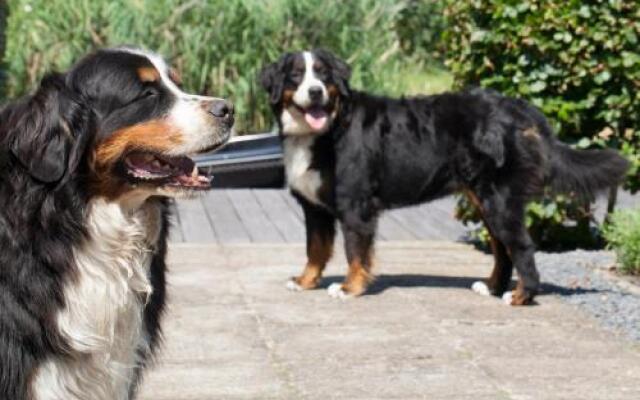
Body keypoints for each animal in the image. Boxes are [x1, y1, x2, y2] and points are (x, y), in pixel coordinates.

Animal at [260, 50, 632, 306]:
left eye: (323, 76)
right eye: (296, 76)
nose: (316, 92)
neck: (326, 129)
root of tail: (518, 108)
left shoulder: (355, 203)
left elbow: (355, 252)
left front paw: (350, 288)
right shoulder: (314, 207)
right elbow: (315, 249)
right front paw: (305, 281)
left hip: (499, 199)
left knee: (521, 246)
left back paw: (520, 296)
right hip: (485, 201)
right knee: (502, 248)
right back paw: (492, 287)